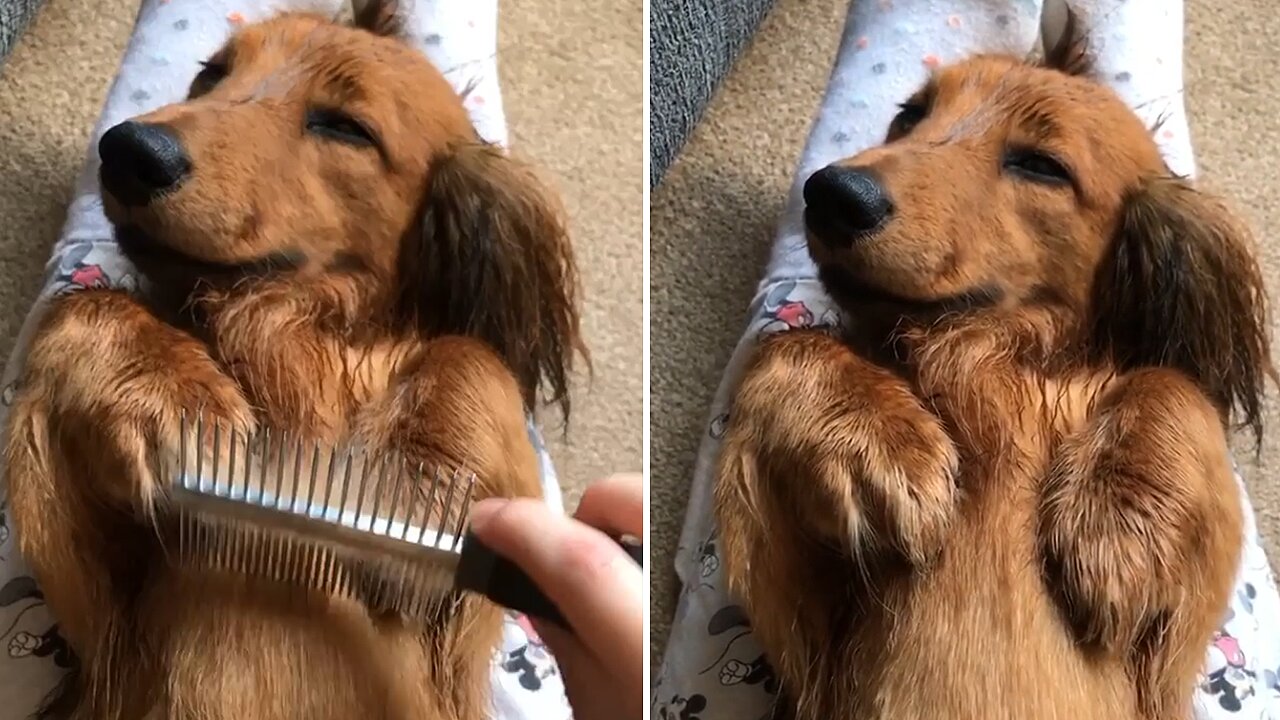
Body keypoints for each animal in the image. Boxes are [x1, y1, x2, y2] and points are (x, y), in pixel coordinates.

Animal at [3, 2, 581, 712]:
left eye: (344, 126)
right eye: (211, 75)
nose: (128, 151)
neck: (293, 320)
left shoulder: (449, 626)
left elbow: (472, 352)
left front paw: (418, 481)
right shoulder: (105, 606)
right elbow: (81, 304)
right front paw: (172, 399)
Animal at [721, 20, 1269, 717]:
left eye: (1040, 165)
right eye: (910, 115)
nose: (830, 194)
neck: (992, 353)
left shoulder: (1170, 659)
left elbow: (1174, 380)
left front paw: (1118, 525)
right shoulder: (804, 628)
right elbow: (785, 342)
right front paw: (879, 446)